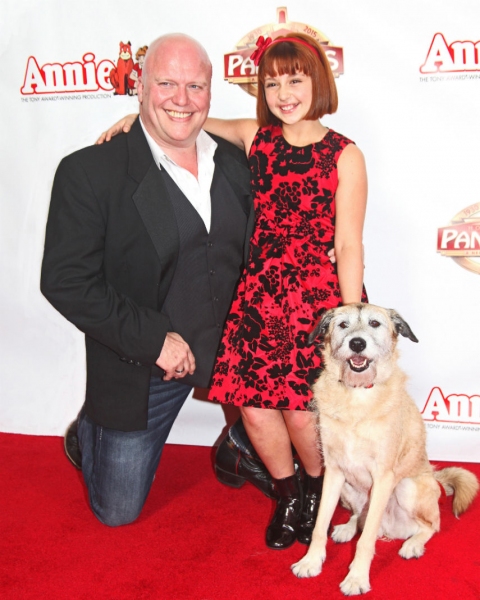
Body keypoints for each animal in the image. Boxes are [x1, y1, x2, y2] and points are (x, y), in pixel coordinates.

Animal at [290, 304, 478, 596]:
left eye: (375, 323)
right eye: (342, 325)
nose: (357, 343)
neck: (356, 395)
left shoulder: (383, 477)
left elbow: (366, 541)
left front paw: (357, 578)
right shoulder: (333, 471)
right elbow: (320, 524)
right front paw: (311, 561)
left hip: (407, 486)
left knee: (430, 525)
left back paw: (413, 544)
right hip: (348, 488)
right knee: (360, 516)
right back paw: (347, 528)